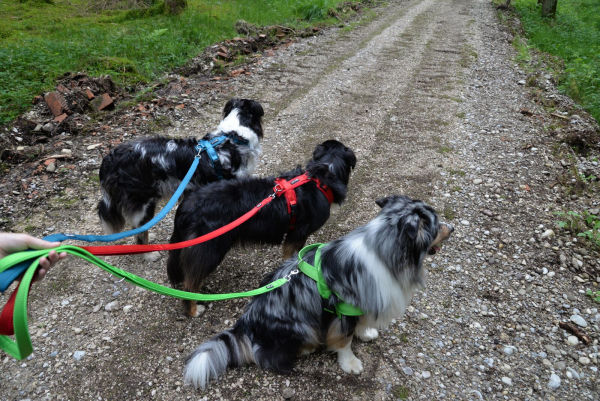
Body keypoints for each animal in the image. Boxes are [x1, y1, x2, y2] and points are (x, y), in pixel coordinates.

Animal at [165, 139, 356, 318]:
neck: (321, 177)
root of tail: (187, 207)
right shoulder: (298, 235)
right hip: (211, 247)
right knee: (190, 283)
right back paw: (193, 309)